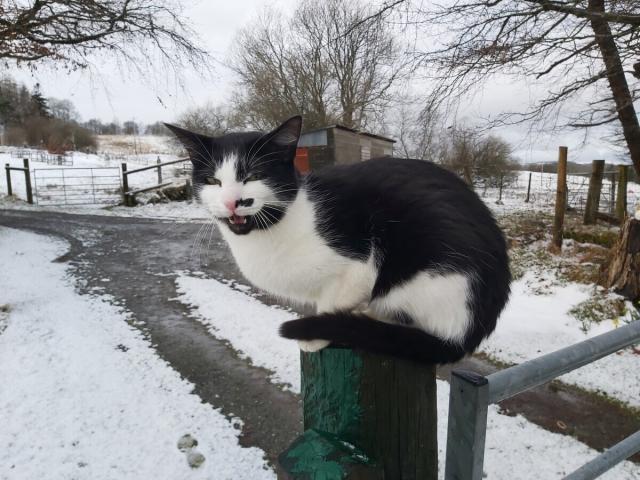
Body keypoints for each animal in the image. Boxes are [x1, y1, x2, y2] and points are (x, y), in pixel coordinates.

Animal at [168, 117, 512, 364]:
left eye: (253, 176)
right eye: (212, 180)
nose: (232, 202)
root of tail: (471, 335)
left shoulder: (359, 264)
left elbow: (332, 301)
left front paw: (316, 335)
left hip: (432, 273)